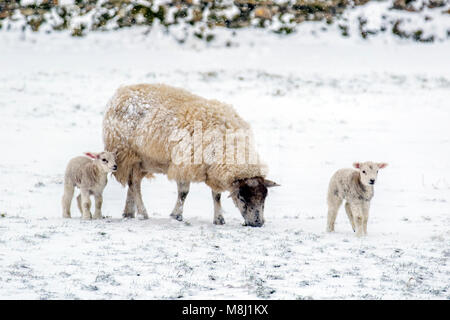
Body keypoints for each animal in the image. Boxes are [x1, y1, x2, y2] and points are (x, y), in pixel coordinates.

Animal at [102, 84, 278, 226]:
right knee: (134, 184)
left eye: (265, 197)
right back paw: (142, 213)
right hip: (128, 154)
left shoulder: (212, 171)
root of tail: (121, 91)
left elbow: (216, 195)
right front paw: (176, 215)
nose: (258, 223)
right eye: (241, 197)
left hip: (142, 161)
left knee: (133, 183)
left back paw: (129, 213)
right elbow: (183, 193)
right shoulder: (185, 164)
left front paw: (219, 219)